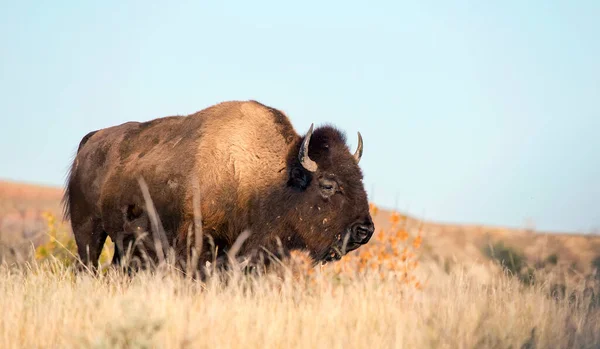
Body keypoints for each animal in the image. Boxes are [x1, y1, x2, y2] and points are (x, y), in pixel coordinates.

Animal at [63, 100, 372, 272]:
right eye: (328, 185)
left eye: (360, 178)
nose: (365, 230)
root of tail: (90, 141)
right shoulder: (197, 245)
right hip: (88, 230)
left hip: (122, 242)